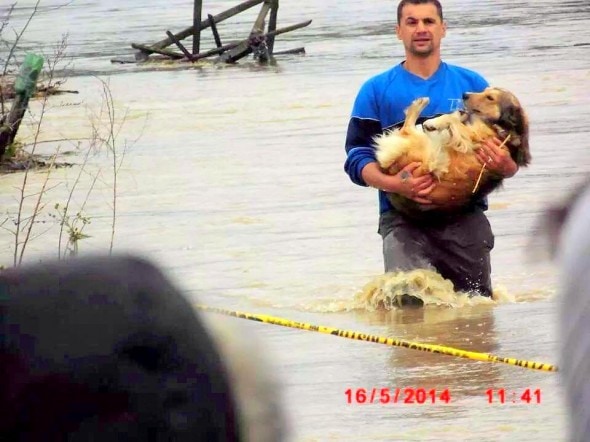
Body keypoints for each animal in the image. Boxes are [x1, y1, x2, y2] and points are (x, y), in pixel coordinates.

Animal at [376, 87, 536, 216]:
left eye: (490, 98)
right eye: (484, 90)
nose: (465, 94)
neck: (507, 126)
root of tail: (388, 168)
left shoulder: (473, 139)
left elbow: (451, 121)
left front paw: (434, 123)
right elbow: (452, 120)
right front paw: (450, 117)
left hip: (429, 156)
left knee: (406, 129)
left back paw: (422, 107)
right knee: (406, 128)